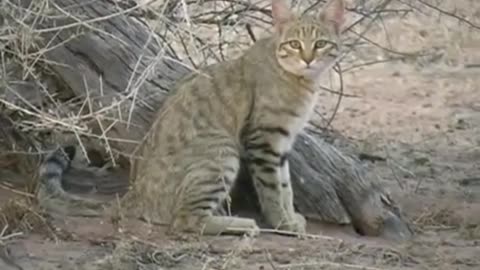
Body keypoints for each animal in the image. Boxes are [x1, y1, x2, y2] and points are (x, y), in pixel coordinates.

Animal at [37, 0, 344, 236]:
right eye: (294, 44)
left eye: (320, 44)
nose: (308, 59)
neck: (299, 80)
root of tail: (132, 195)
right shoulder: (264, 139)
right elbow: (272, 188)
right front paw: (282, 222)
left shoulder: (282, 143)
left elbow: (286, 186)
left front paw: (290, 216)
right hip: (222, 152)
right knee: (185, 221)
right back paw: (240, 224)